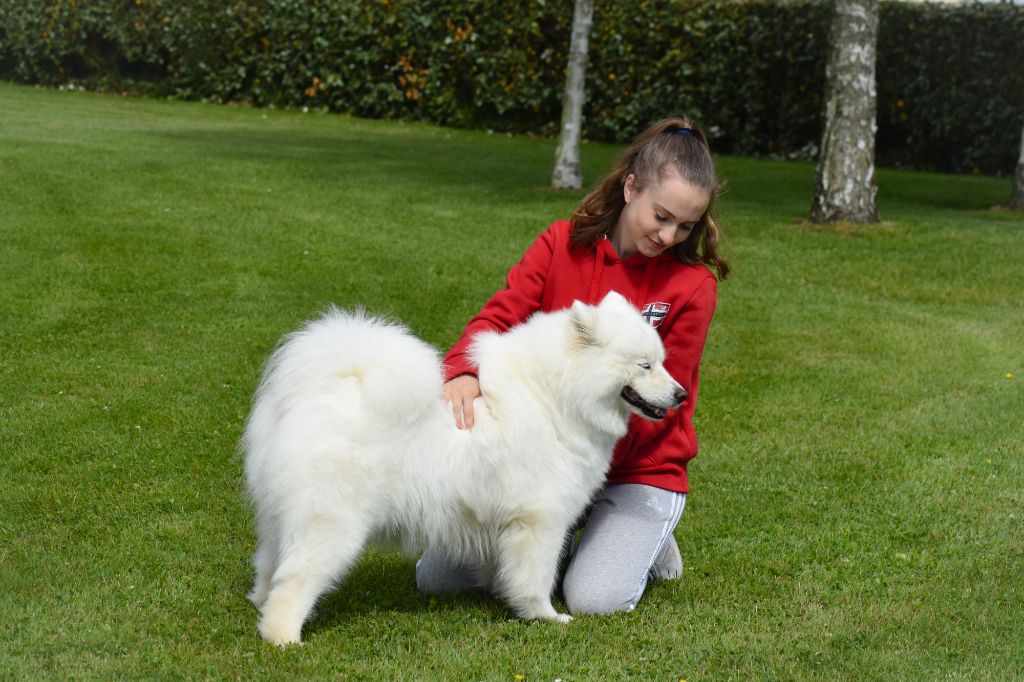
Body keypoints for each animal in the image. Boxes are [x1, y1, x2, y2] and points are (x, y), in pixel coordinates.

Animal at [242, 290, 684, 643]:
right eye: (645, 365)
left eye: (663, 361)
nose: (682, 395)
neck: (554, 397)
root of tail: (321, 390)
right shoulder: (540, 521)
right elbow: (535, 577)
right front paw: (544, 616)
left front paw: (501, 596)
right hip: (332, 522)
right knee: (294, 581)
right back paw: (284, 639)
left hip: (283, 519)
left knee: (268, 566)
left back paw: (260, 606)